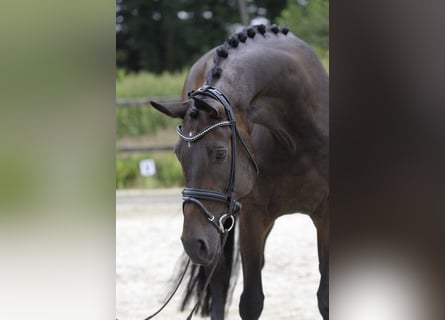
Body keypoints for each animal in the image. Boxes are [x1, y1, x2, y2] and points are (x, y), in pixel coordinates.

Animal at [149, 25, 326, 320]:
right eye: (178, 154)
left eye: (220, 153)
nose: (192, 243)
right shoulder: (253, 217)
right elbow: (251, 301)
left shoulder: (327, 216)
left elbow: (325, 298)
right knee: (219, 280)